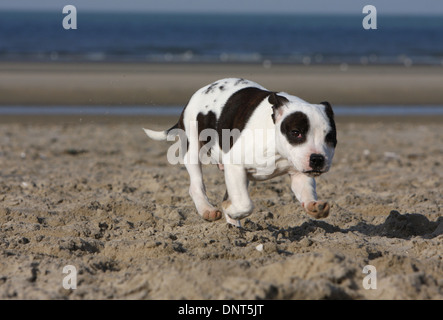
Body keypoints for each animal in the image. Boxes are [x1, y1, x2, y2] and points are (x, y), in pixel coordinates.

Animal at [144, 78, 338, 226]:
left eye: (330, 137)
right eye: (296, 133)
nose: (317, 159)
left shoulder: (299, 173)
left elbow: (306, 191)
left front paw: (314, 206)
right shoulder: (235, 166)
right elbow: (245, 204)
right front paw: (231, 210)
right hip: (192, 149)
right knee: (196, 185)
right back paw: (208, 210)